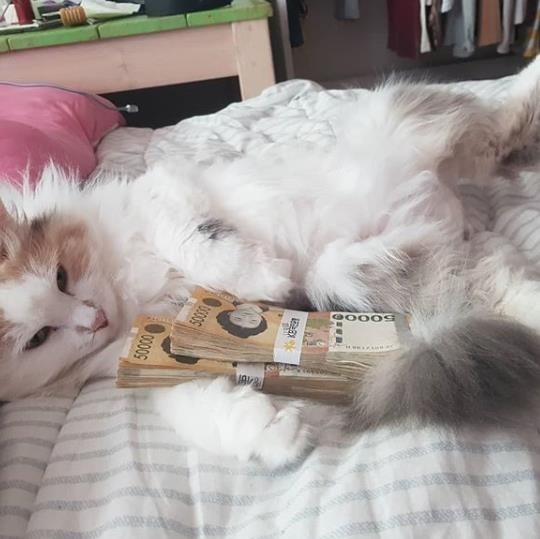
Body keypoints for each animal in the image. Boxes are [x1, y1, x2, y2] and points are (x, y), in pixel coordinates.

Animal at [2, 57, 540, 468]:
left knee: (502, 132)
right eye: (39, 339)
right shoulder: (153, 355)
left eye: (62, 276)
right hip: (368, 275)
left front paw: (261, 276)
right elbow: (199, 406)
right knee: (498, 282)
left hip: (407, 122)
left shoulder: (160, 193)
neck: (130, 291)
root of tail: (444, 205)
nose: (95, 319)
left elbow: (193, 239)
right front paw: (276, 434)